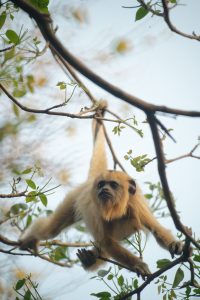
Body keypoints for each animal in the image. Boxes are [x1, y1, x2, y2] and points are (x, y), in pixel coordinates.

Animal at [19, 104, 184, 278]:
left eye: (113, 184)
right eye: (102, 184)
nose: (104, 189)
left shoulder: (136, 205)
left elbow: (155, 228)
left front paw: (174, 244)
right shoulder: (98, 210)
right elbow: (107, 242)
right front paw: (139, 264)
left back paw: (89, 259)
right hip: (74, 198)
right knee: (51, 230)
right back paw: (31, 239)